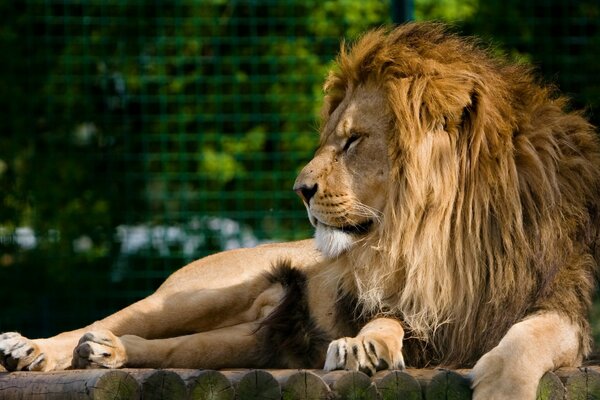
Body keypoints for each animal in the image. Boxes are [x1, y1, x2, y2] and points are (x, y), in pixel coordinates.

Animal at [1, 22, 600, 400]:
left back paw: (106, 355)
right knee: (110, 319)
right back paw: (35, 350)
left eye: (353, 141)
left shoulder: (563, 303)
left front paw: (500, 382)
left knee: (167, 349)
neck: (440, 237)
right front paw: (364, 347)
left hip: (253, 341)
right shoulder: (410, 307)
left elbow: (532, 336)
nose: (300, 189)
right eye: (332, 139)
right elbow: (386, 317)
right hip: (193, 296)